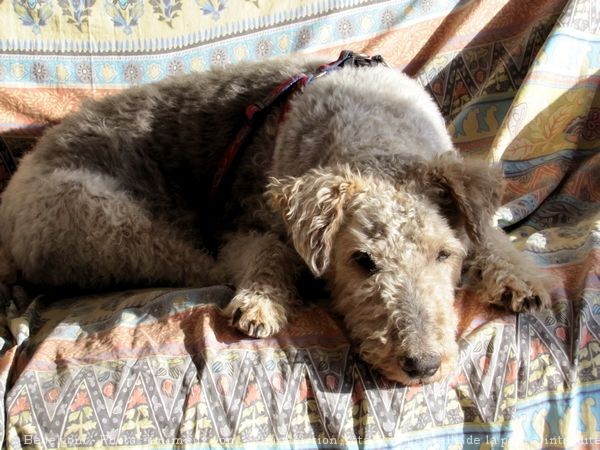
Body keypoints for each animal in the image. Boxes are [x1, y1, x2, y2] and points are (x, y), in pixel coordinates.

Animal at [0, 54, 548, 384]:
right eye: (362, 261)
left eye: (444, 255)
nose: (422, 365)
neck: (376, 138)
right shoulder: (245, 224)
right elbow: (268, 251)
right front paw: (262, 303)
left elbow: (487, 231)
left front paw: (519, 278)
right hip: (107, 219)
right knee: (202, 263)